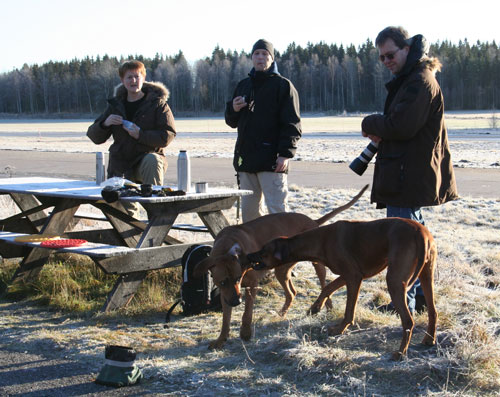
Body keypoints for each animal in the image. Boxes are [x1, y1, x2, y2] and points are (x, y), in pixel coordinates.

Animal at [191, 184, 368, 348]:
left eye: (238, 278)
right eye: (222, 282)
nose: (236, 302)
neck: (227, 245)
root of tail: (312, 221)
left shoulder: (251, 285)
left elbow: (247, 313)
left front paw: (246, 332)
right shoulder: (226, 293)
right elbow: (225, 319)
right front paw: (220, 339)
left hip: (317, 264)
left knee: (325, 286)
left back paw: (327, 308)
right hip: (281, 270)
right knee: (292, 293)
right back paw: (282, 313)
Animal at [249, 217, 438, 358]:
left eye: (263, 251)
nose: (249, 255)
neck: (320, 240)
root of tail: (420, 232)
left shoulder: (353, 276)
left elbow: (349, 310)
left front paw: (338, 329)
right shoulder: (349, 274)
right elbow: (327, 288)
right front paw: (315, 307)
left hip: (394, 280)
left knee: (408, 320)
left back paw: (400, 353)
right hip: (426, 275)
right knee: (433, 311)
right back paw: (429, 340)